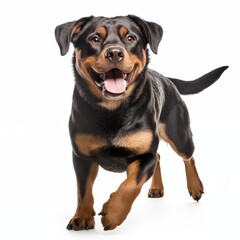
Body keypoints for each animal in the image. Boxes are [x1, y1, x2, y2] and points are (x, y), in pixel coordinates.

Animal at [54, 14, 229, 231]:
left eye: (130, 38)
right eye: (94, 39)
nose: (114, 53)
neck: (113, 110)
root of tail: (166, 78)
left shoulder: (144, 155)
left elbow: (131, 184)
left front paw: (113, 213)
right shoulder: (82, 156)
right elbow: (83, 190)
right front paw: (82, 217)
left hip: (179, 133)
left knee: (188, 156)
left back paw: (195, 186)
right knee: (161, 157)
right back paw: (156, 188)